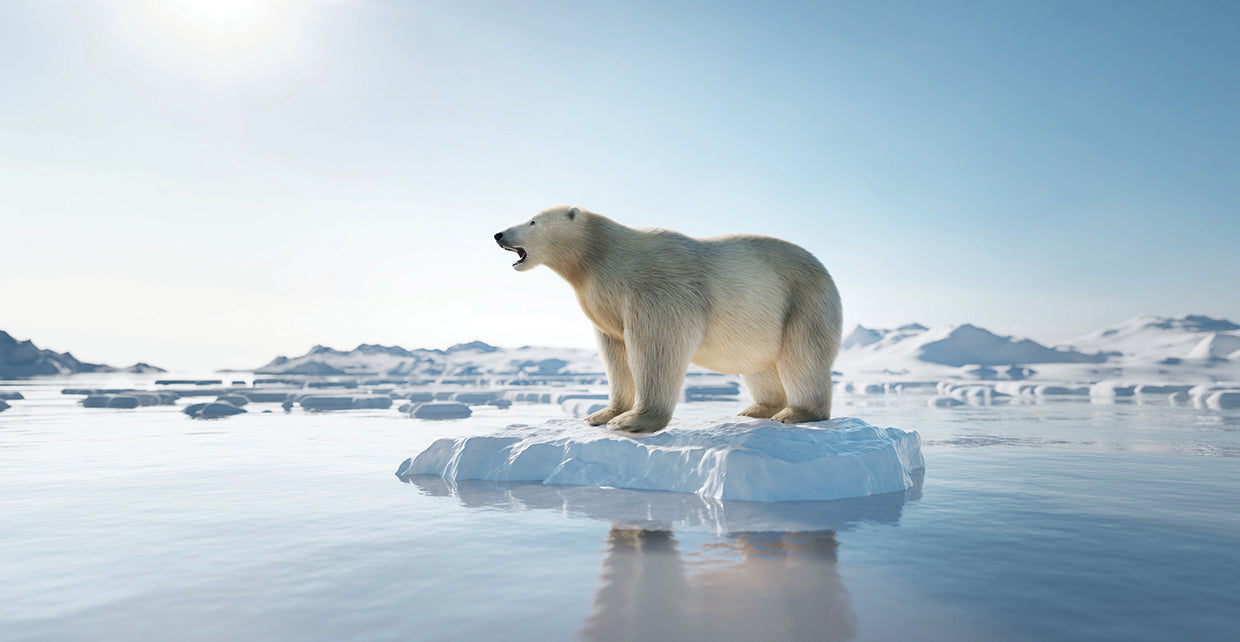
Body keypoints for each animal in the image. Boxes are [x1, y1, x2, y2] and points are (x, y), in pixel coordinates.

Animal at [494, 205, 842, 434]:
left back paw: (795, 413)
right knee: (759, 366)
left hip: (804, 301)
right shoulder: (605, 303)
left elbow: (656, 345)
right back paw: (756, 409)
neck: (600, 256)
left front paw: (631, 421)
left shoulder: (656, 287)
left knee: (802, 358)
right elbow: (615, 354)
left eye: (532, 220)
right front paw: (601, 414)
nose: (498, 234)